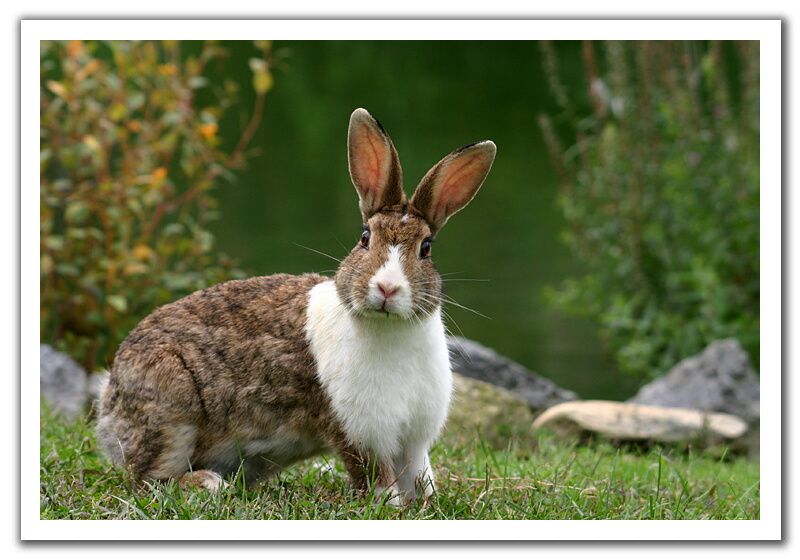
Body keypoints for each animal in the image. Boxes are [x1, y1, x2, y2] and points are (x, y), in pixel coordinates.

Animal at [96, 108, 496, 504]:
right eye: (364, 238)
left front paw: (425, 504)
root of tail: (108, 404)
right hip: (172, 410)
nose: (387, 288)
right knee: (149, 480)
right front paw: (391, 506)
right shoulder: (358, 432)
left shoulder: (414, 440)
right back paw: (208, 483)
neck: (390, 328)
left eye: (425, 248)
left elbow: (419, 476)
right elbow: (378, 480)